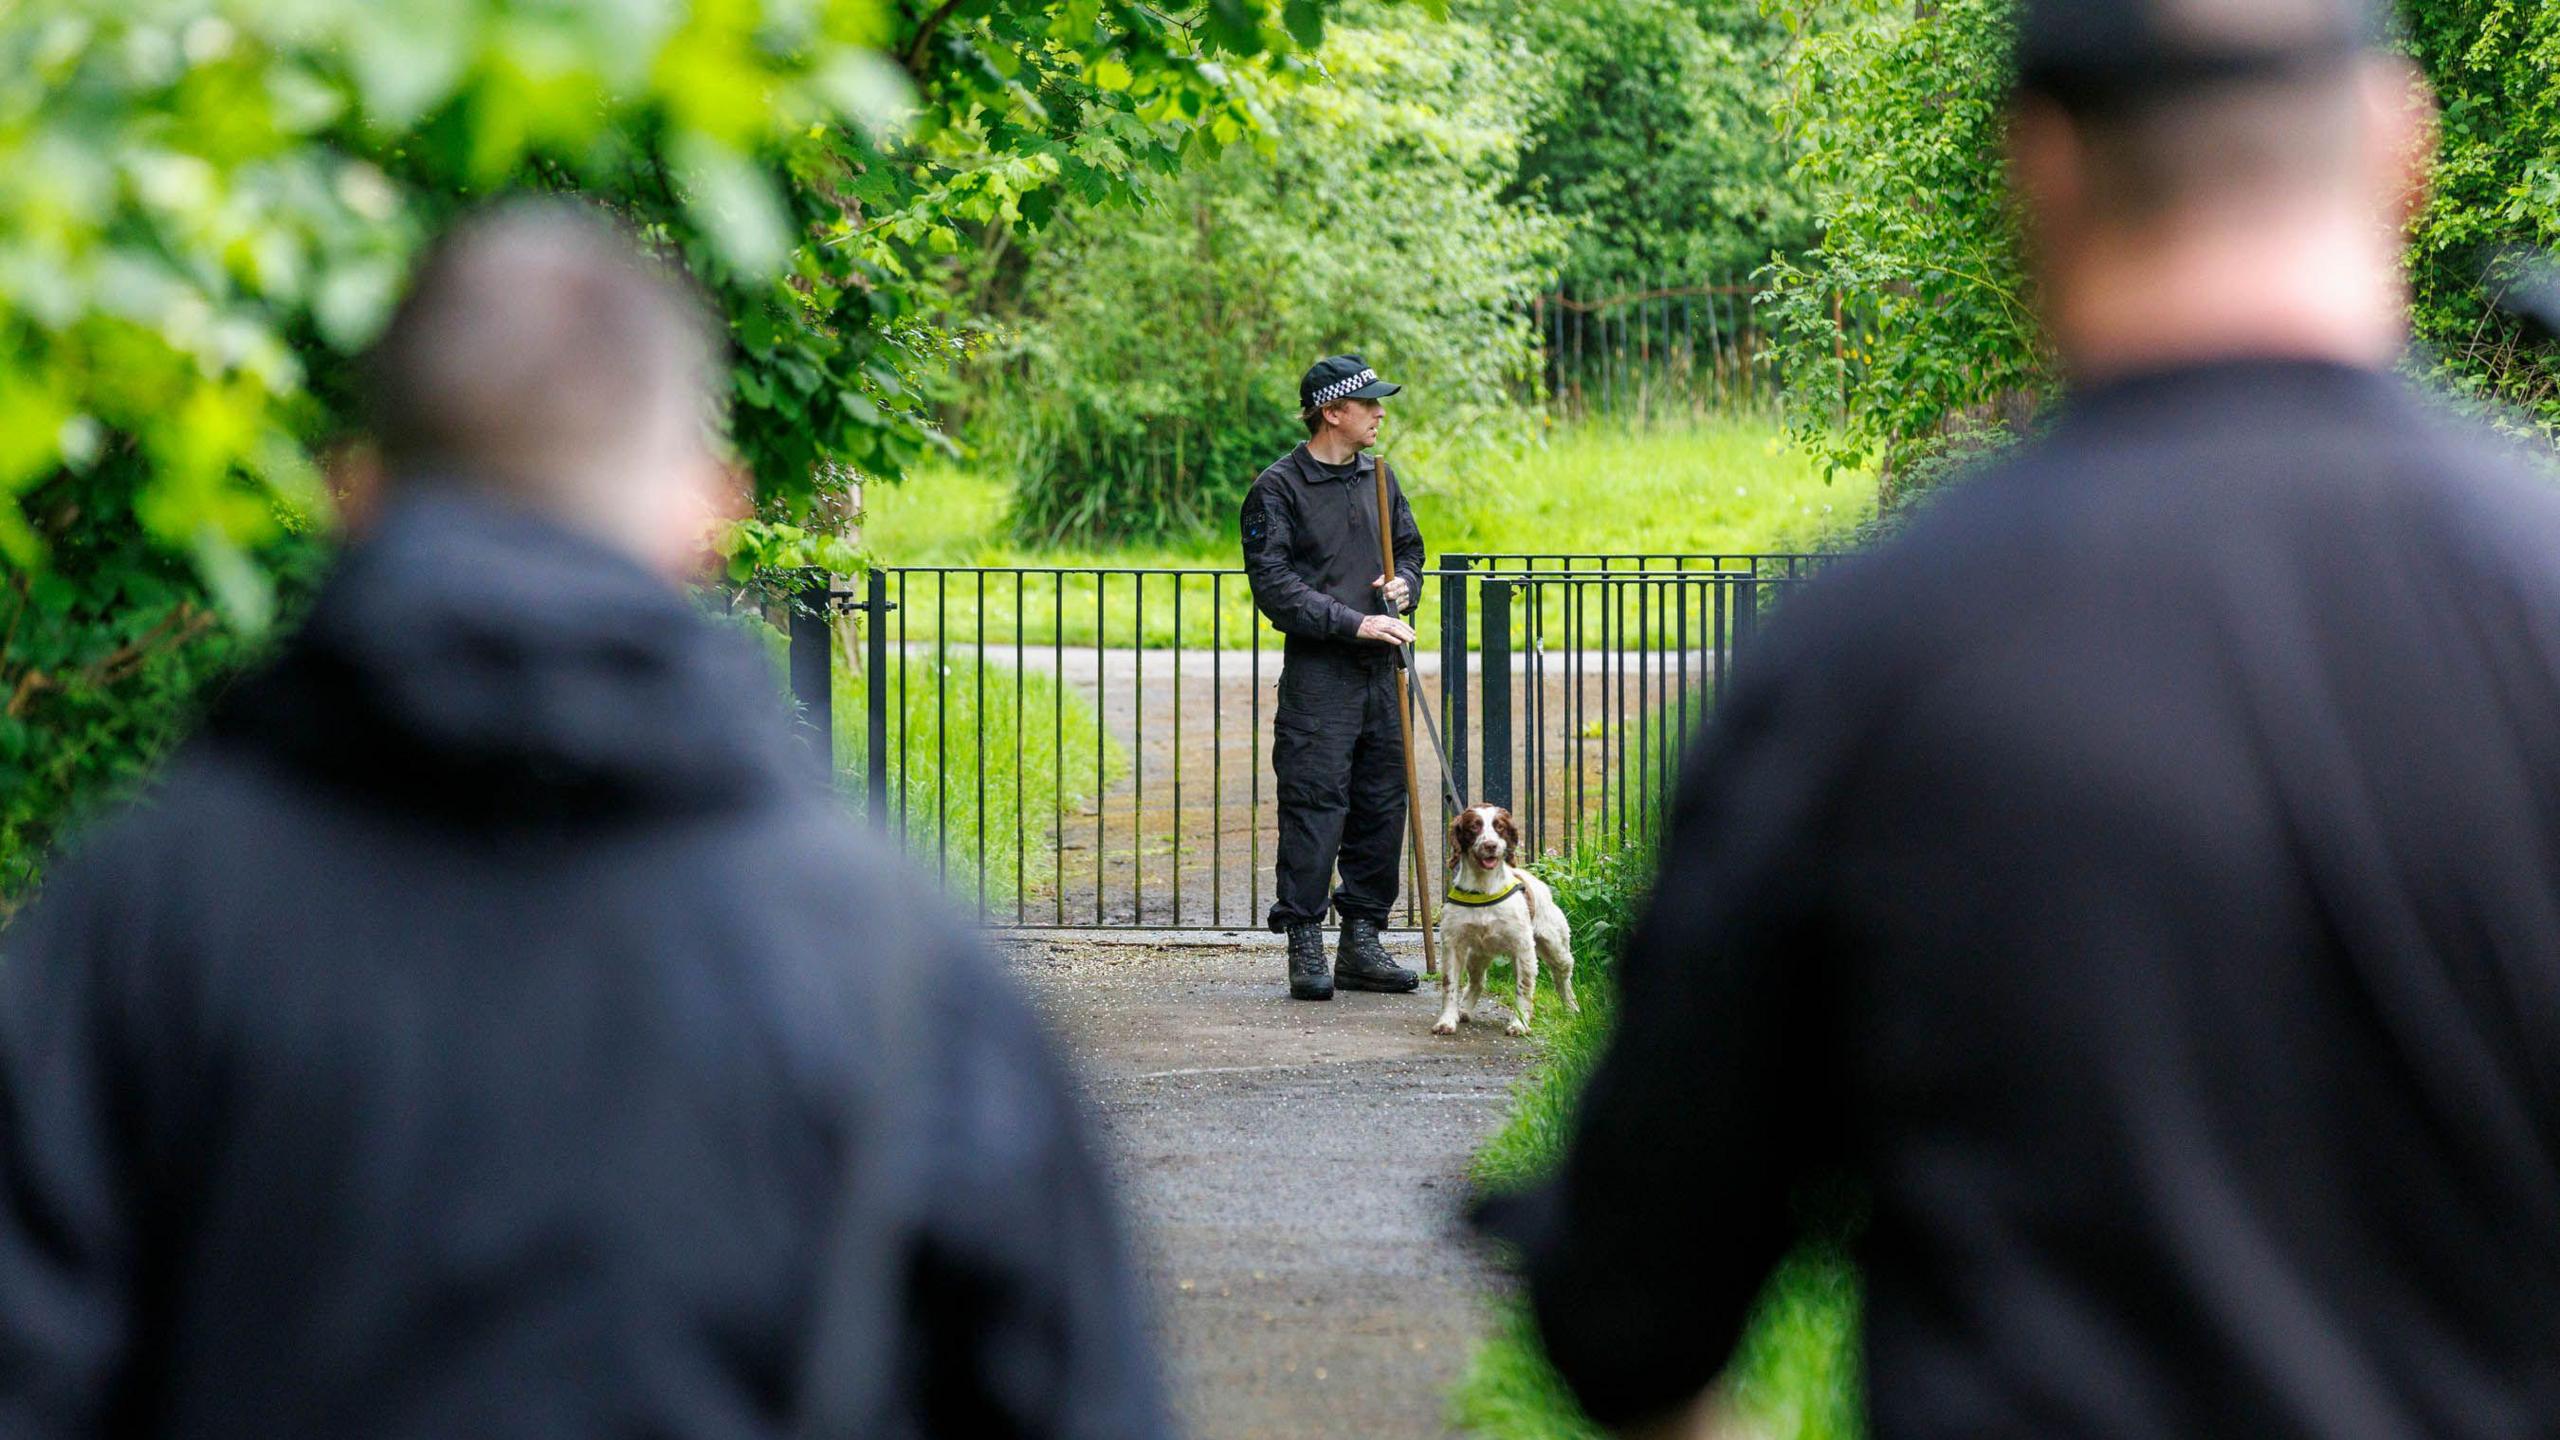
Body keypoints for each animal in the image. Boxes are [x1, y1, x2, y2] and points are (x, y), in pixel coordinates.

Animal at [1433, 809, 1566, 1030]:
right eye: (1474, 826)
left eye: (1500, 826)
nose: (1490, 845)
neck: (1483, 889)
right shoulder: (1453, 943)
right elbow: (1449, 985)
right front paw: (1447, 1021)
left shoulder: (1523, 947)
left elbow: (1524, 986)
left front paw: (1519, 1024)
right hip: (1477, 955)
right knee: (1478, 982)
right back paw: (1465, 1010)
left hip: (1555, 947)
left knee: (1562, 976)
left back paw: (1572, 1009)